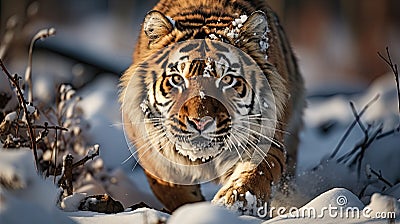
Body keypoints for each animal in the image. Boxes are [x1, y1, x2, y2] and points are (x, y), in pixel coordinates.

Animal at [120, 0, 304, 215]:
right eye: (177, 79)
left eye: (227, 79)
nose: (200, 121)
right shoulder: (155, 155)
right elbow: (174, 193)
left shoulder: (265, 140)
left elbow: (254, 175)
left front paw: (230, 204)